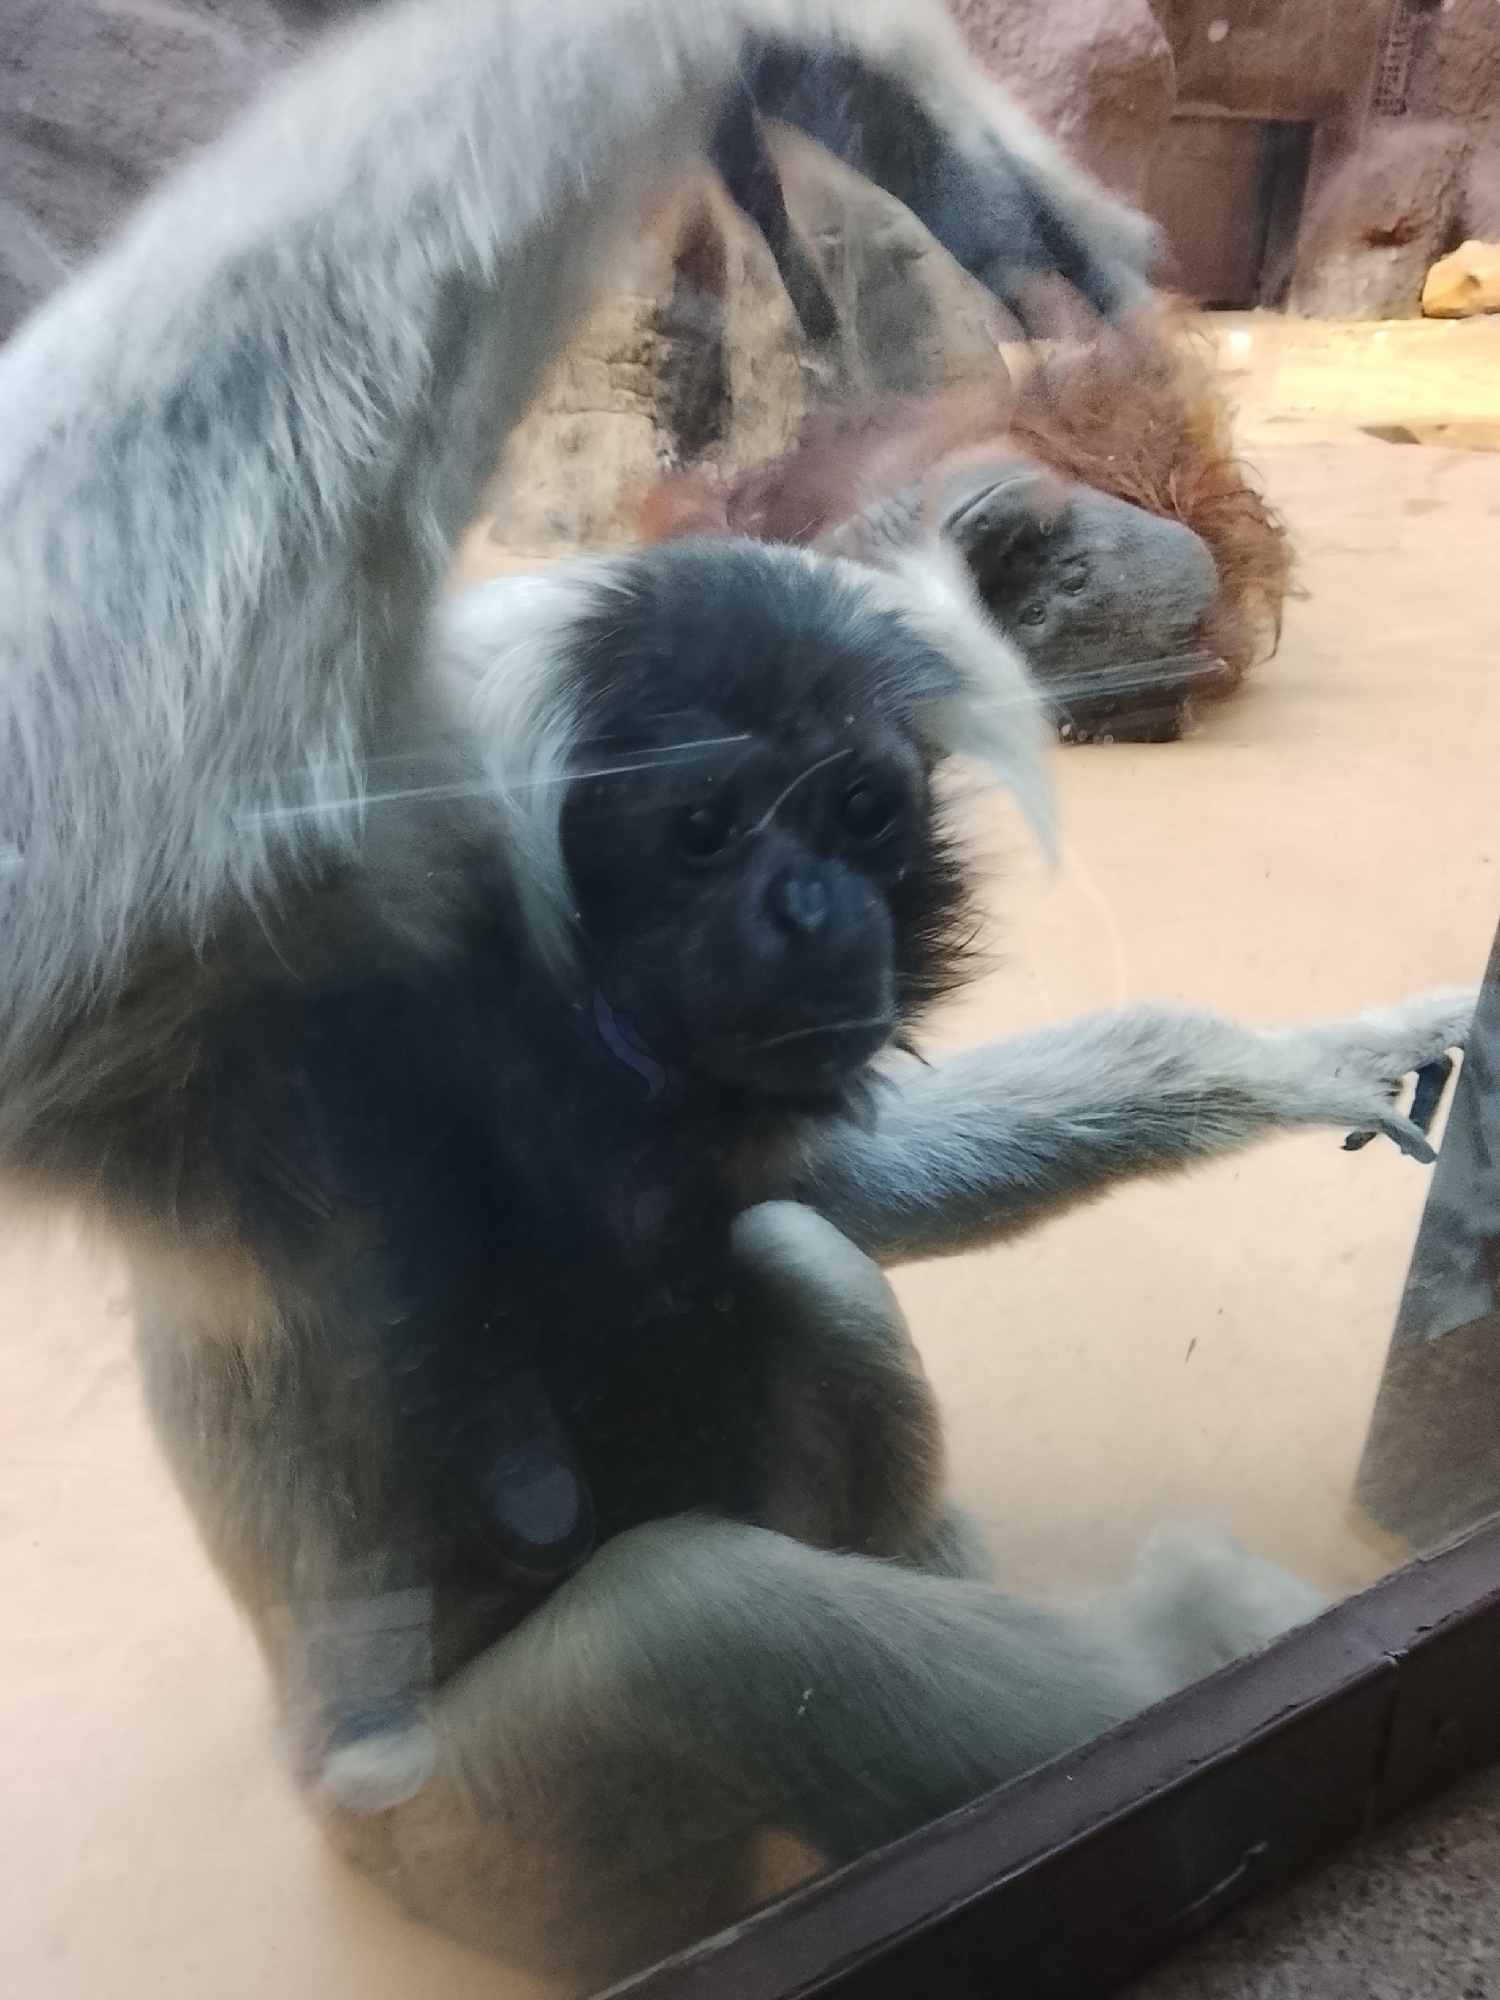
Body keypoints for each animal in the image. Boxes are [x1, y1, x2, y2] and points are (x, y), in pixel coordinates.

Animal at [0, 0, 1473, 1988]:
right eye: (704, 830)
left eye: (855, 809)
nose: (808, 907)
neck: (544, 1038)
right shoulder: (279, 1023)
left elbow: (821, 1192)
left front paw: (1295, 1054)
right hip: (457, 1851)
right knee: (694, 1625)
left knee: (797, 1268)